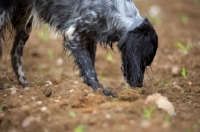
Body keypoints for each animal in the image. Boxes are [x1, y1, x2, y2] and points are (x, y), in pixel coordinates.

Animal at [0, 0, 159, 97]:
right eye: (145, 60)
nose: (139, 84)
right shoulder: (72, 33)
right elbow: (89, 69)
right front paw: (100, 92)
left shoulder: (89, 38)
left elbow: (89, 66)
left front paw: (87, 90)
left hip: (24, 24)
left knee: (15, 53)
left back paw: (25, 83)